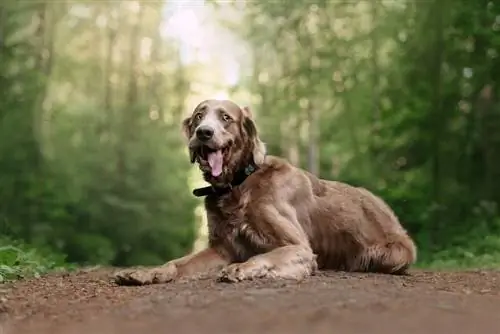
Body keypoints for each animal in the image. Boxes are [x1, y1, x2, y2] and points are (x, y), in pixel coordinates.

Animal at [114, 98, 418, 284]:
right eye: (199, 115)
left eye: (226, 118)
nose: (203, 132)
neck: (239, 184)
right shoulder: (221, 247)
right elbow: (177, 263)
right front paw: (147, 273)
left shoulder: (299, 247)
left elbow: (266, 255)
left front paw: (242, 268)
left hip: (390, 254)